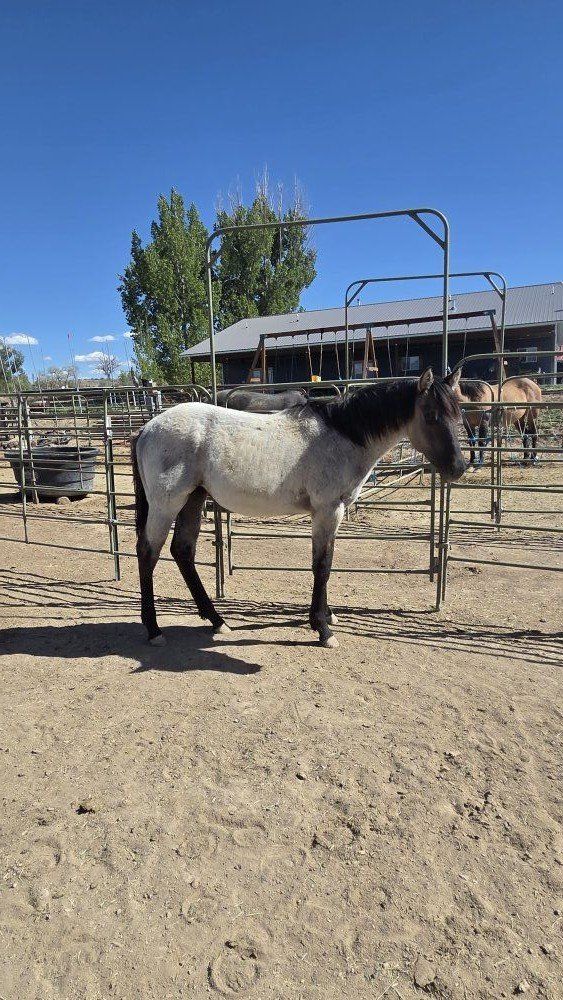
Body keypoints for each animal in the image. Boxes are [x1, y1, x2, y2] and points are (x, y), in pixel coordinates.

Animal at [131, 367, 466, 650]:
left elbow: (326, 562)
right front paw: (322, 629)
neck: (342, 435)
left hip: (193, 499)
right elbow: (322, 565)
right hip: (166, 505)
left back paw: (217, 621)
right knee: (148, 553)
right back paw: (154, 629)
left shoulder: (331, 514)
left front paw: (327, 616)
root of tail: (147, 428)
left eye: (458, 412)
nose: (458, 468)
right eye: (431, 415)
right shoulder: (327, 511)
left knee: (182, 551)